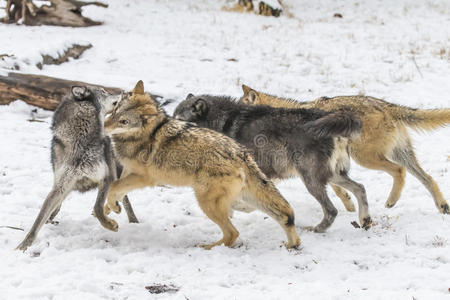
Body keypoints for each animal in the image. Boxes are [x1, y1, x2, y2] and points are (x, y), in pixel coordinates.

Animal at [103, 81, 300, 250]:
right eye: (114, 111)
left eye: (123, 121)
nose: (103, 126)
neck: (144, 134)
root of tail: (241, 154)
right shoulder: (128, 171)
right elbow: (116, 191)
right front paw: (109, 209)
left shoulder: (143, 178)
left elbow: (113, 186)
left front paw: (111, 209)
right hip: (243, 197)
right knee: (285, 215)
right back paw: (293, 244)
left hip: (206, 202)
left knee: (233, 233)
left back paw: (207, 247)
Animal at [241, 84, 448, 213]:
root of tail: (386, 106)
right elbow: (339, 189)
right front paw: (350, 207)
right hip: (399, 154)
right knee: (428, 179)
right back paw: (443, 207)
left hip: (365, 158)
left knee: (399, 170)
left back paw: (391, 201)